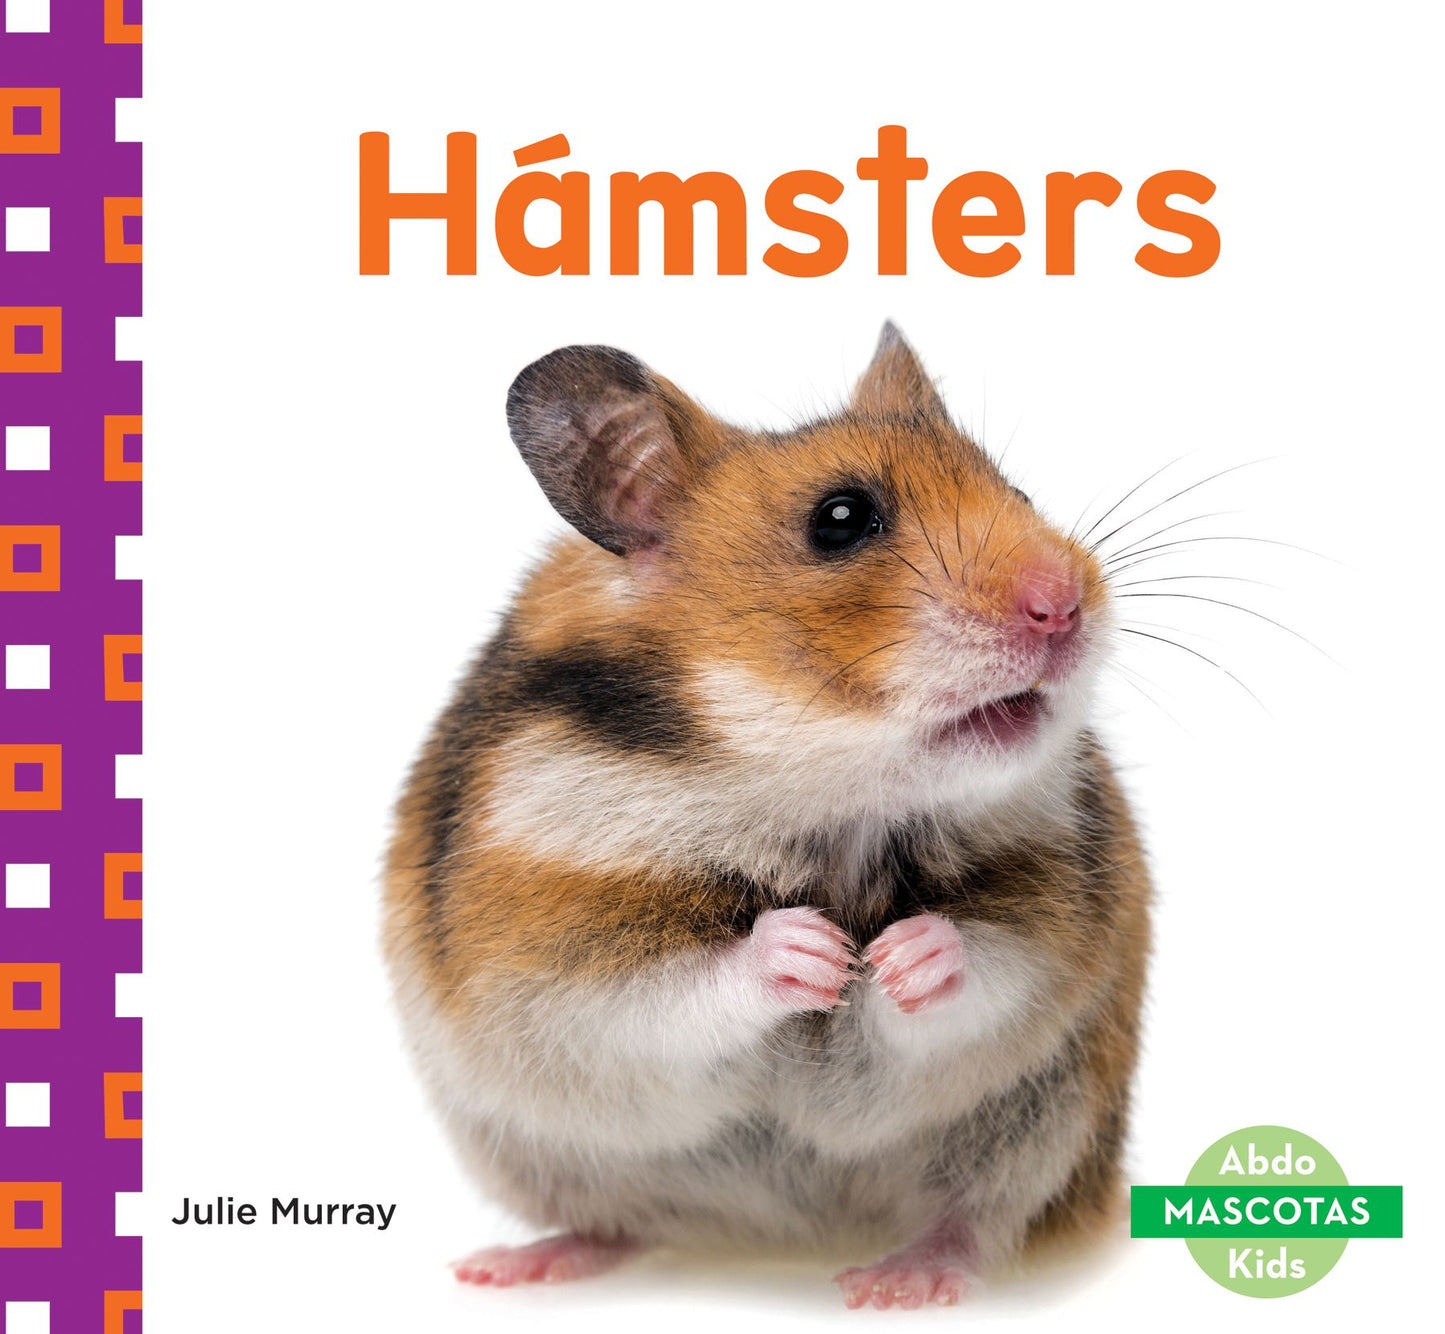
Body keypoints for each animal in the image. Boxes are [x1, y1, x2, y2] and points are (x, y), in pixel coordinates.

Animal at [382, 323, 1151, 1309]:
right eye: (841, 519)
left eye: (1015, 490)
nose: (1064, 606)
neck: (824, 796)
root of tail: (769, 1240)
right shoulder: (548, 955)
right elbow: (672, 991)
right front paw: (811, 950)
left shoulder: (1054, 917)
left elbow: (985, 968)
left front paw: (897, 957)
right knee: (622, 1223)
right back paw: (507, 1268)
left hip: (1046, 1128)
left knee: (975, 1222)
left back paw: (895, 1282)